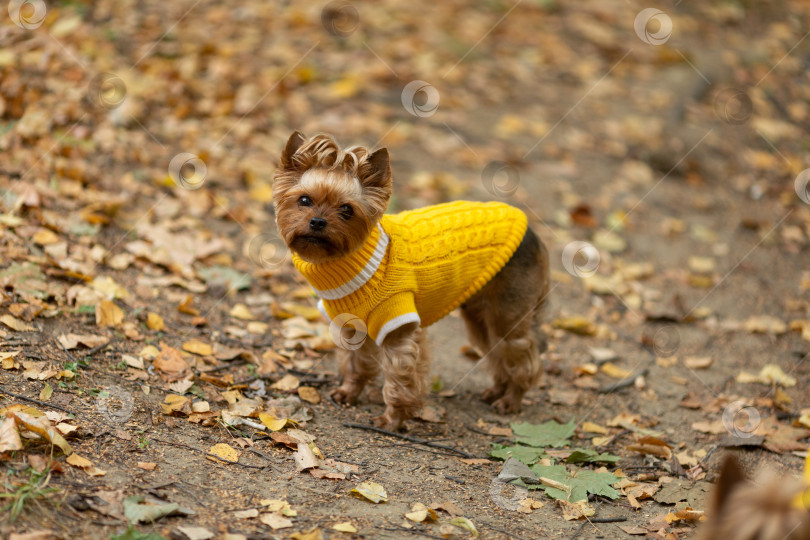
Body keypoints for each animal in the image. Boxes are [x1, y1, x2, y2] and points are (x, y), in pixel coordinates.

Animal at [274, 132, 548, 430]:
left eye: (347, 210)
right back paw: (496, 391)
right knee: (497, 353)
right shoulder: (353, 326)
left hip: (506, 316)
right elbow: (355, 364)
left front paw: (391, 420)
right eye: (304, 200)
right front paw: (349, 393)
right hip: (480, 317)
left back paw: (511, 400)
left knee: (524, 357)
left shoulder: (399, 331)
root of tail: (530, 230)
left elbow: (399, 382)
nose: (317, 221)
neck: (354, 263)